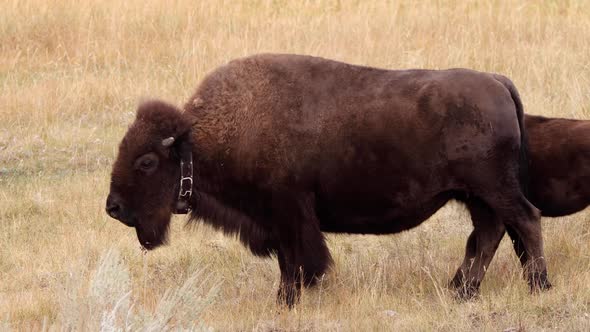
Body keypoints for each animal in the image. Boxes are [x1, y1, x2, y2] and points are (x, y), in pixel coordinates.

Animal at [105, 53, 552, 306]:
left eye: (146, 162)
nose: (113, 207)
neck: (200, 140)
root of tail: (497, 81)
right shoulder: (279, 220)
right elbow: (287, 262)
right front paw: (286, 300)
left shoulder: (289, 213)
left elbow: (297, 262)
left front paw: (287, 301)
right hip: (476, 195)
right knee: (489, 234)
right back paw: (462, 291)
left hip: (494, 189)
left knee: (525, 220)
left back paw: (537, 286)